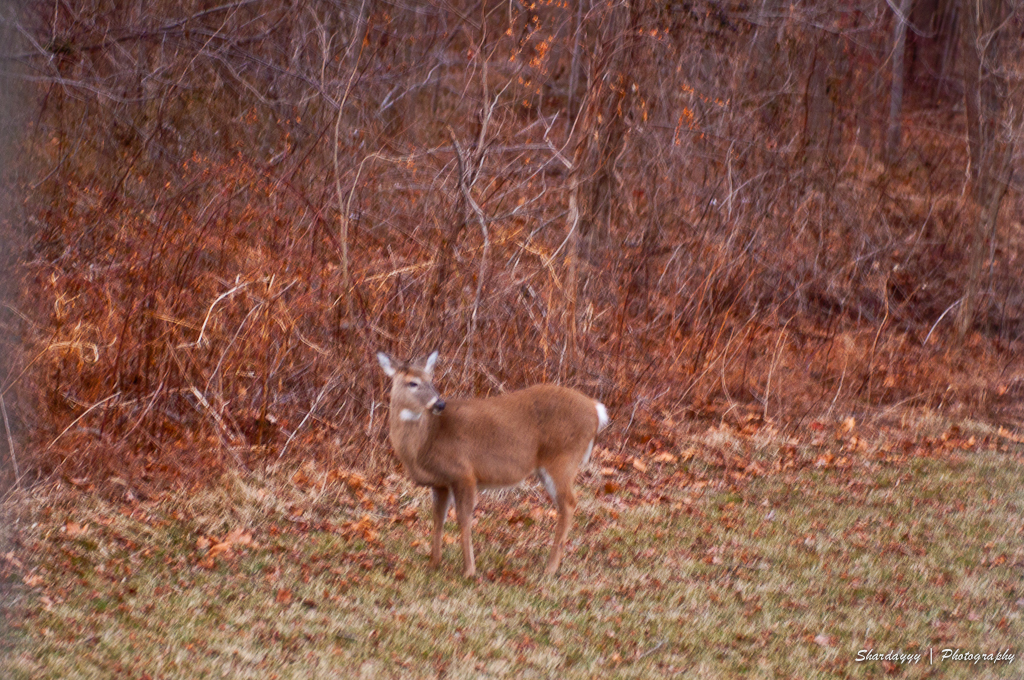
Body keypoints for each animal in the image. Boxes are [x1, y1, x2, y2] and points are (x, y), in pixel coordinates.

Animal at [380, 350, 610, 577]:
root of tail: (595, 409)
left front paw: (469, 571)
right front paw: (434, 564)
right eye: (412, 383)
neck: (426, 441)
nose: (439, 404)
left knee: (569, 503)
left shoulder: (464, 472)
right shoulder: (440, 483)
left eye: (431, 379)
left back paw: (550, 568)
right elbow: (438, 519)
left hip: (562, 459)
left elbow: (464, 519)